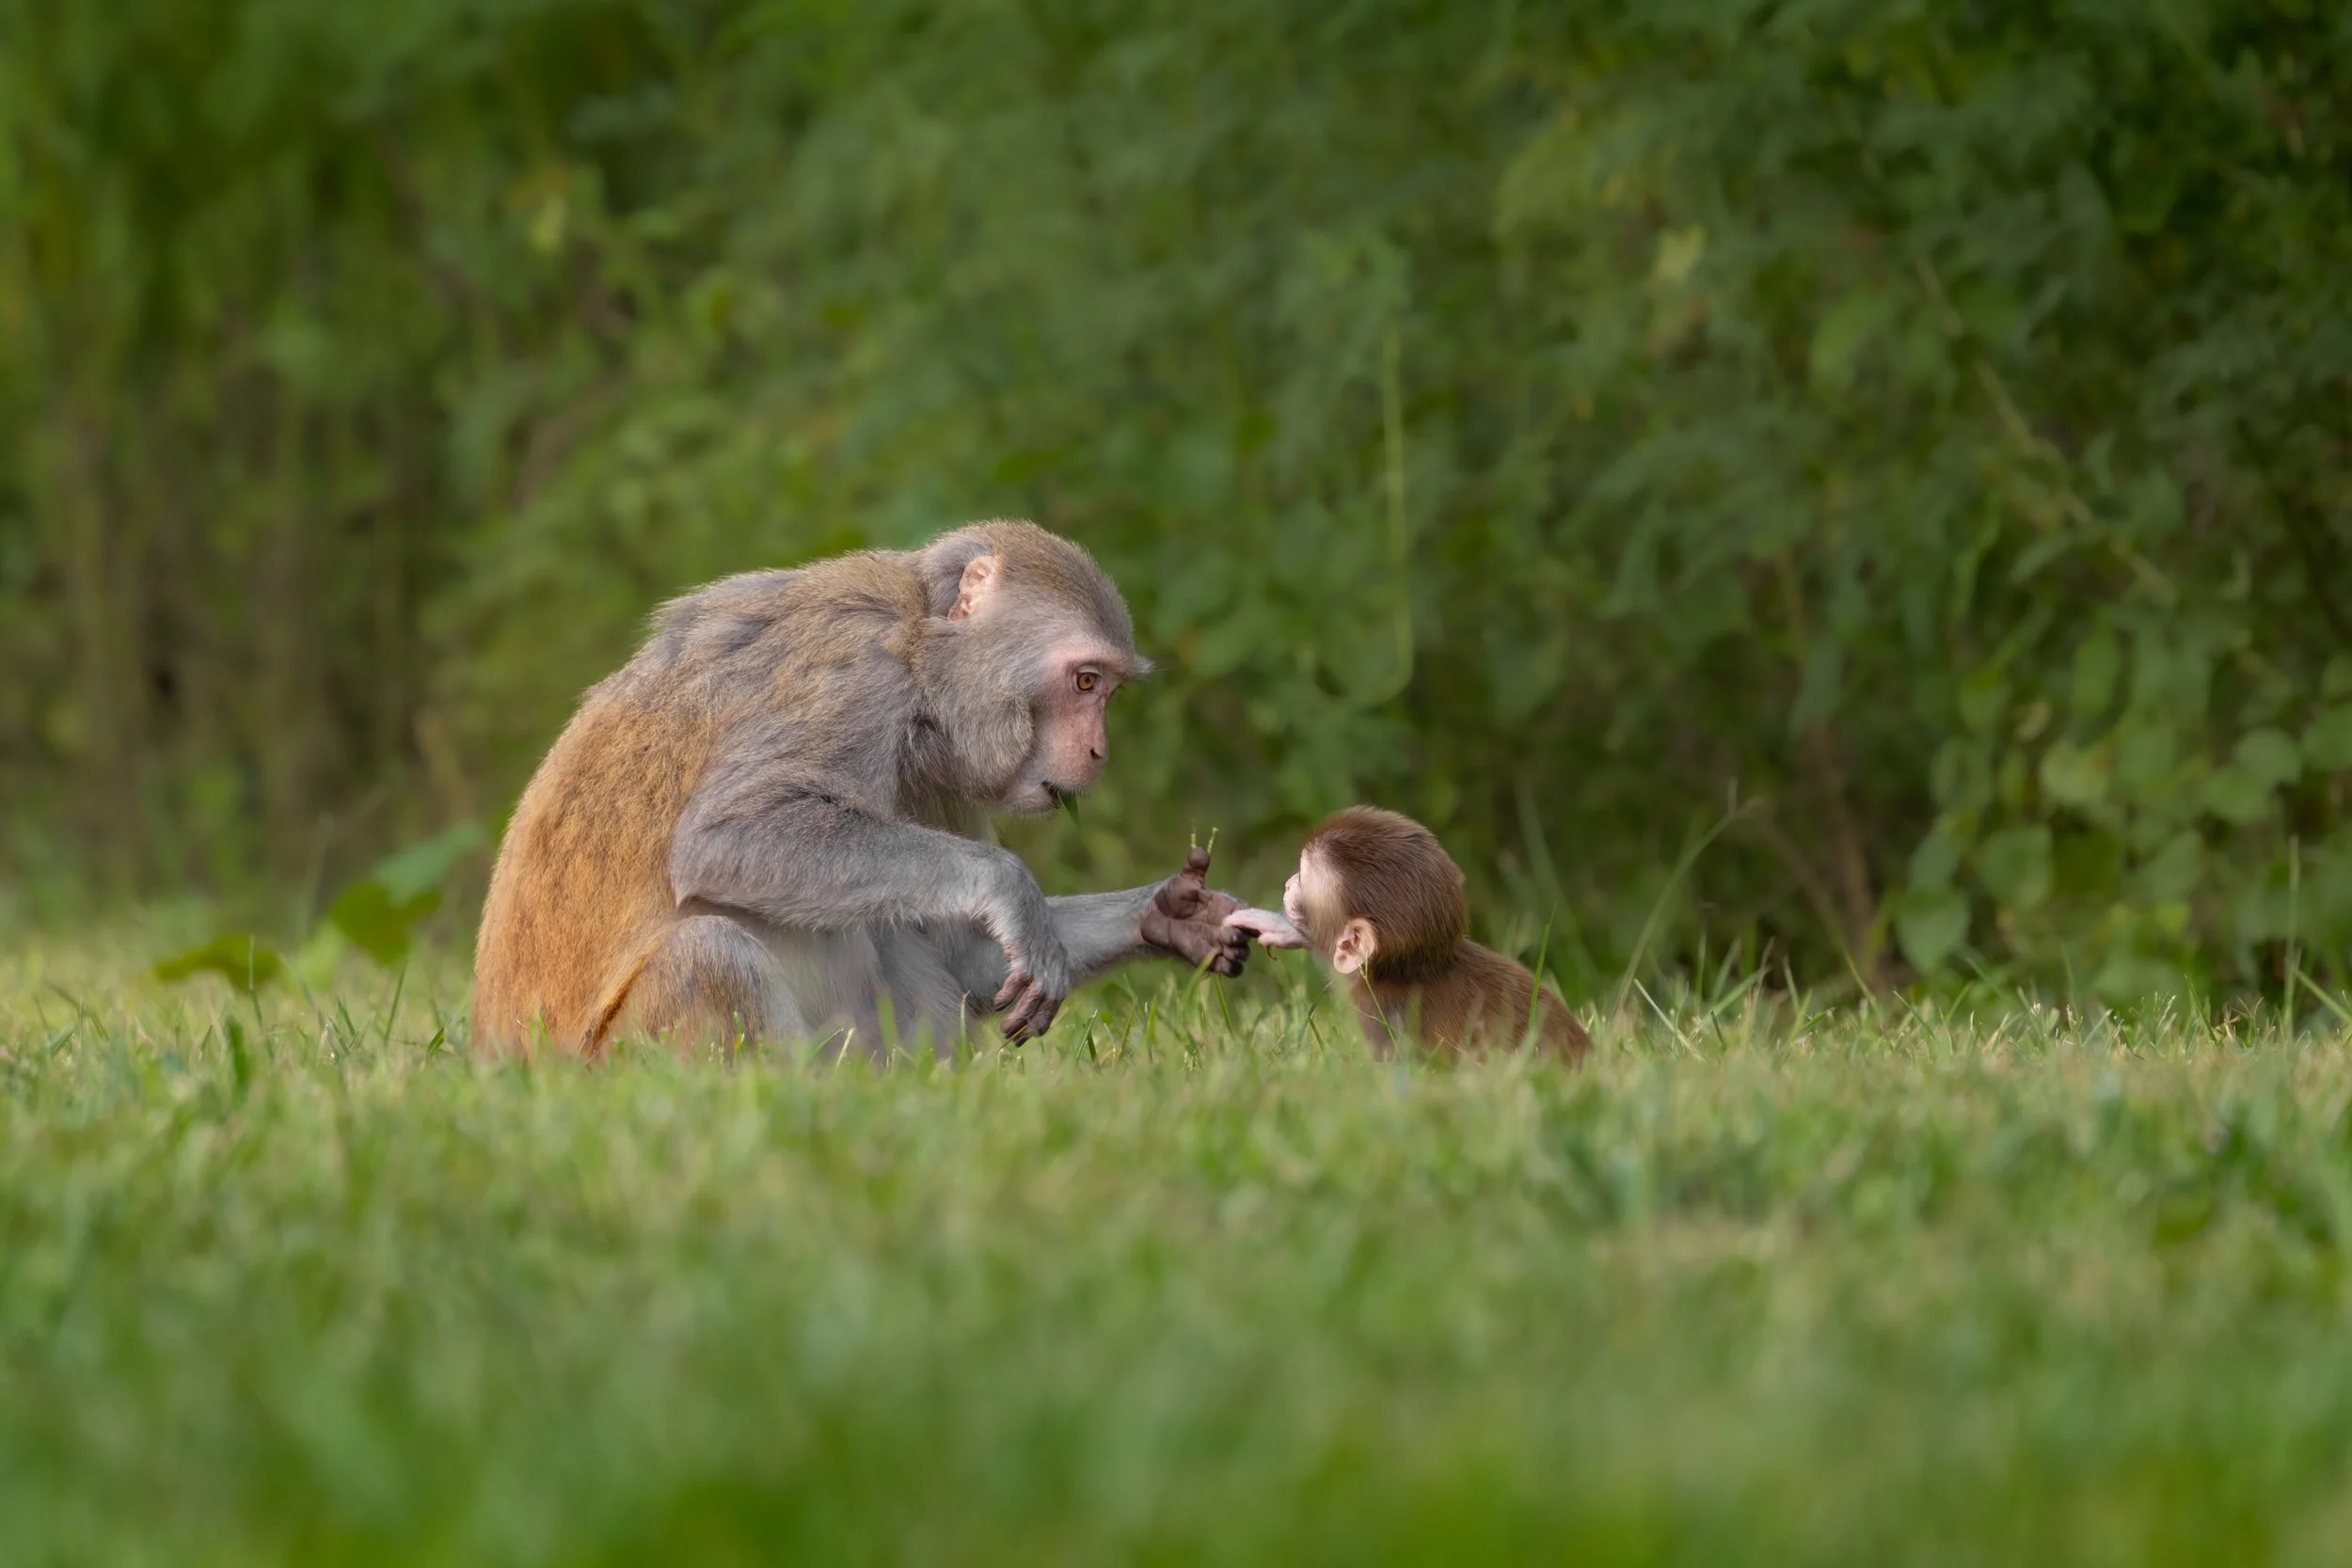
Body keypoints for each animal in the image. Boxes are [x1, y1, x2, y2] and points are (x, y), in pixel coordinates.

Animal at [470, 520, 1254, 1059]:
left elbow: (965, 951)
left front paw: (1175, 915)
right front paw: (1010, 888)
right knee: (712, 953)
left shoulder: (940, 775)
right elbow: (727, 836)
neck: (918, 648)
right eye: (1085, 681)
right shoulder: (855, 675)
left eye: (1108, 689)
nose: (1098, 750)